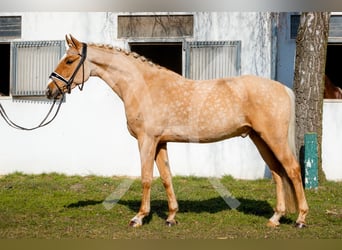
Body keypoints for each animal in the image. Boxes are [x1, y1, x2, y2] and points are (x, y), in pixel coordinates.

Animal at [44, 35, 308, 229]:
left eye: (69, 61)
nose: (49, 90)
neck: (143, 86)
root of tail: (283, 88)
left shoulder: (147, 140)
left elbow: (147, 178)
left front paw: (139, 217)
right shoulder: (161, 142)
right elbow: (166, 177)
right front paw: (171, 217)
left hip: (273, 138)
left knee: (293, 171)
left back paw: (300, 219)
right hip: (259, 138)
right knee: (277, 173)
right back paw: (275, 219)